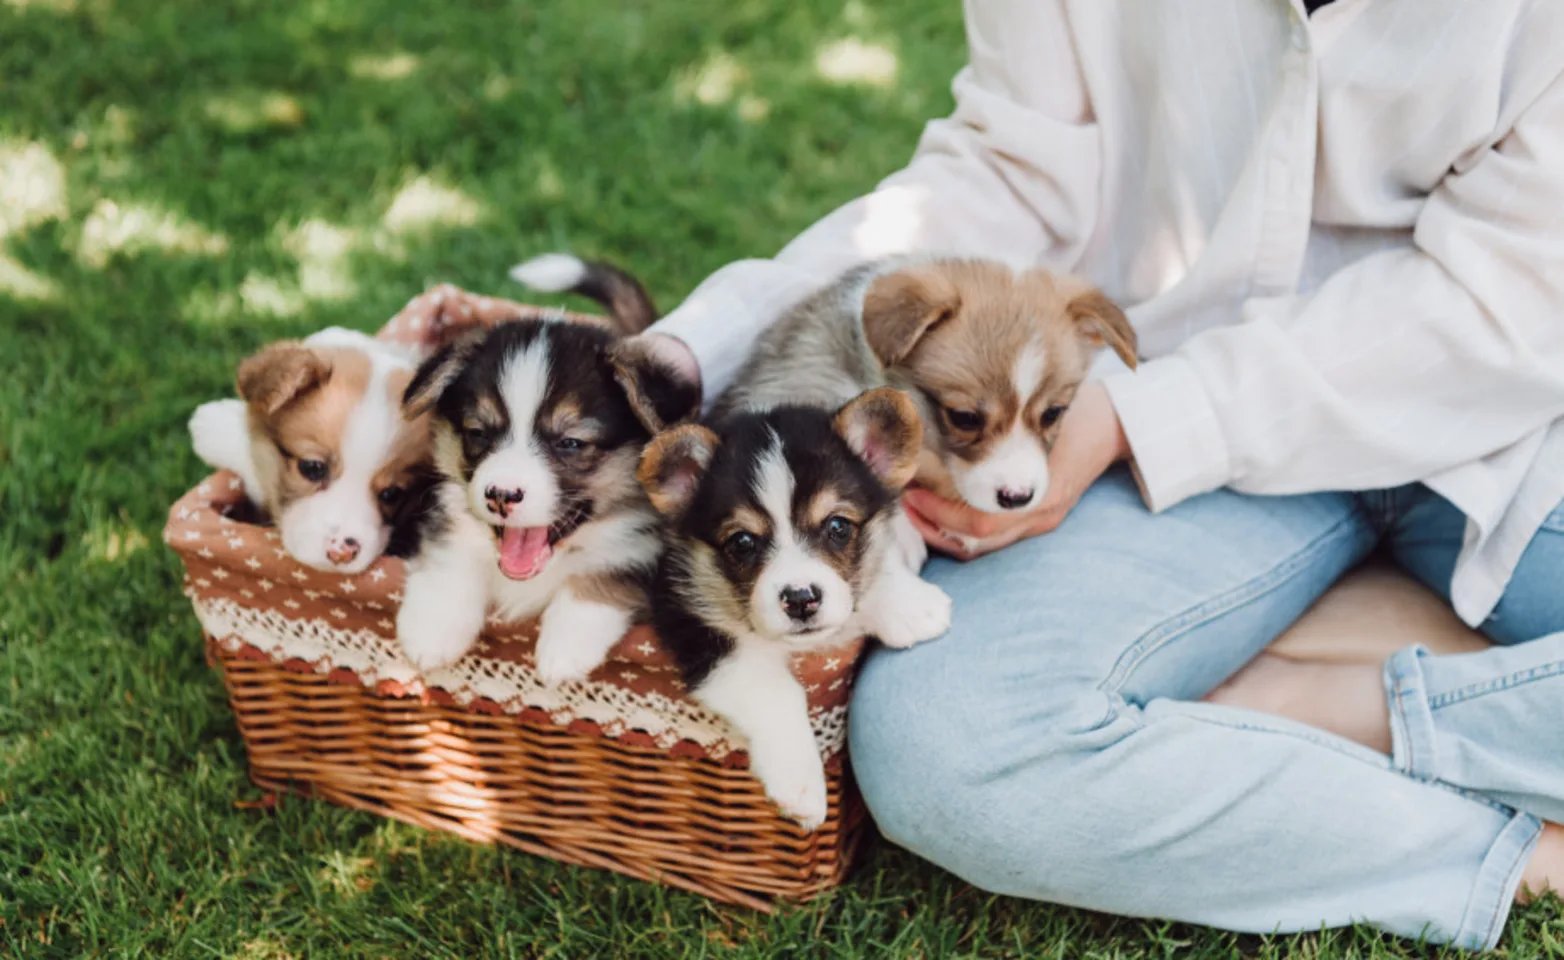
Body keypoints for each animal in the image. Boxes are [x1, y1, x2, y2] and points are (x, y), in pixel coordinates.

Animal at [638, 387, 925, 831]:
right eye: (742, 542)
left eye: (838, 527)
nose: (801, 598)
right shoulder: (691, 619)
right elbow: (777, 692)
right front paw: (800, 783)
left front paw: (911, 604)